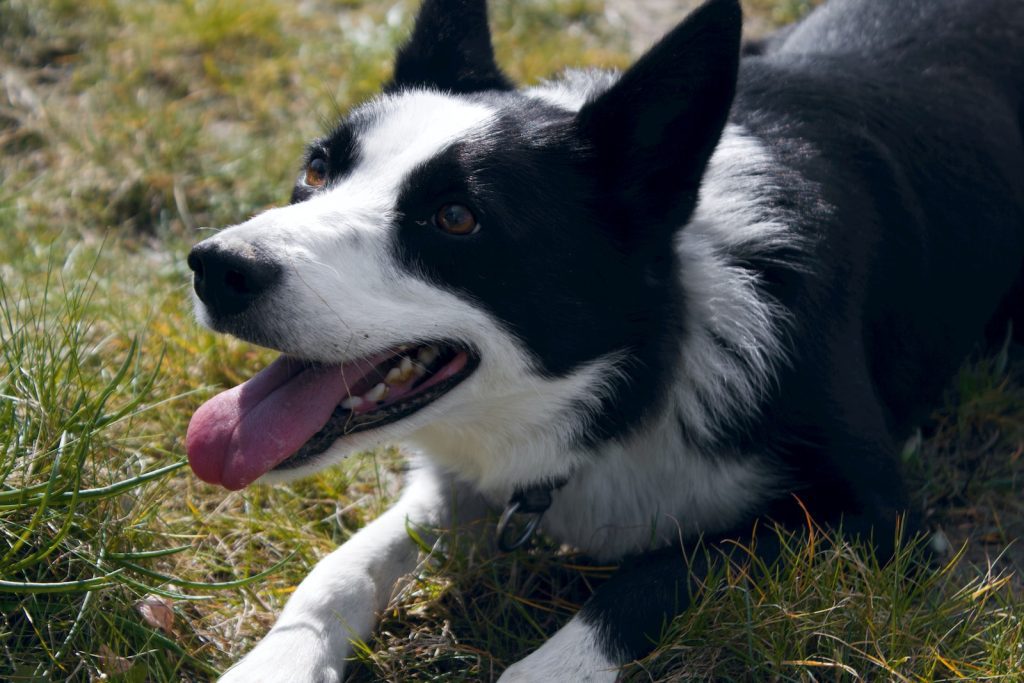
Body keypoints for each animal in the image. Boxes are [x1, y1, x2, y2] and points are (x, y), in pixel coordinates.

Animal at [186, 1, 1024, 679]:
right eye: (316, 169)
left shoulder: (885, 522)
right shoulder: (460, 484)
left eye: (456, 218)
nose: (215, 267)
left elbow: (661, 572)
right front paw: (276, 662)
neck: (640, 366)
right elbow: (341, 566)